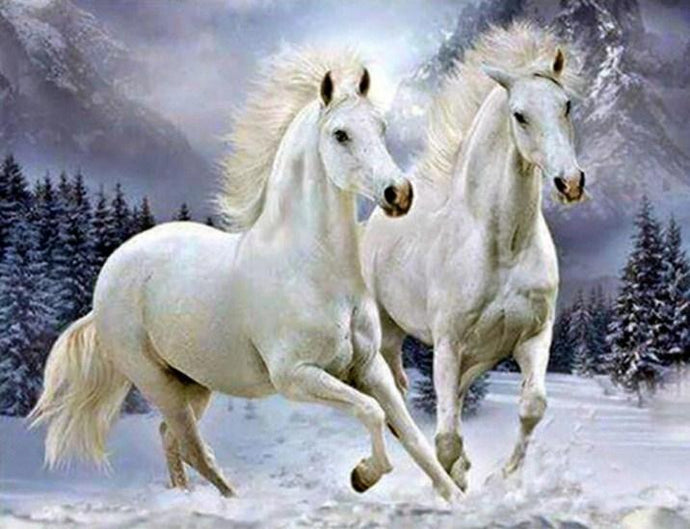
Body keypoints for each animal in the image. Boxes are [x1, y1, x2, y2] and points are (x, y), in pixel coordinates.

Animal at [30, 48, 462, 502]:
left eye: (381, 128)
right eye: (340, 134)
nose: (400, 194)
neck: (313, 270)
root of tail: (109, 277)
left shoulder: (369, 368)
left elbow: (412, 436)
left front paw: (454, 496)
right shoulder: (295, 376)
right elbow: (372, 412)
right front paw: (364, 475)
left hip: (195, 381)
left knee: (170, 437)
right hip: (156, 382)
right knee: (193, 447)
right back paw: (230, 498)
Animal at [361, 23, 586, 491]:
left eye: (566, 105)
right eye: (520, 115)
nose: (570, 183)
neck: (503, 247)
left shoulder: (532, 337)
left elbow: (532, 407)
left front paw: (500, 477)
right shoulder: (447, 345)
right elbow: (445, 440)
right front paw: (453, 484)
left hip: (477, 356)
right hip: (387, 333)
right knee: (397, 397)